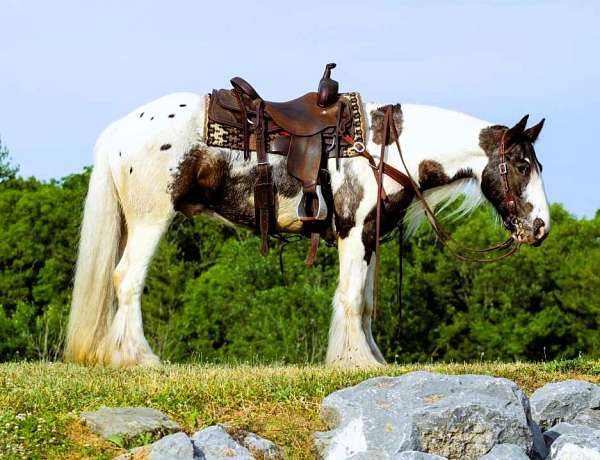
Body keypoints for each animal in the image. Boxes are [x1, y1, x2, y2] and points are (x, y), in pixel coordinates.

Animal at [63, 91, 552, 368]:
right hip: (151, 218)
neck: (384, 148)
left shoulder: (369, 238)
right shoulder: (354, 232)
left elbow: (365, 305)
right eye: (521, 164)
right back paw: (139, 358)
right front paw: (355, 363)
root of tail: (119, 131)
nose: (541, 228)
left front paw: (371, 359)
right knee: (127, 280)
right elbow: (351, 298)